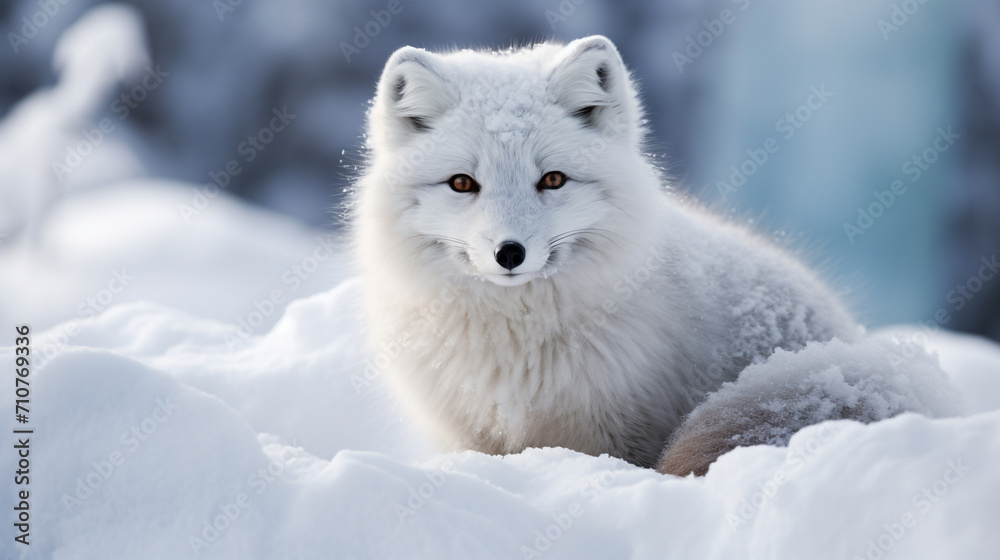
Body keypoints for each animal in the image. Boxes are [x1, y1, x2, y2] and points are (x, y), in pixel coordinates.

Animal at [352, 35, 952, 474]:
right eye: (462, 183)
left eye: (552, 179)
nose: (509, 252)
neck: (516, 345)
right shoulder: (463, 438)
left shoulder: (616, 438)